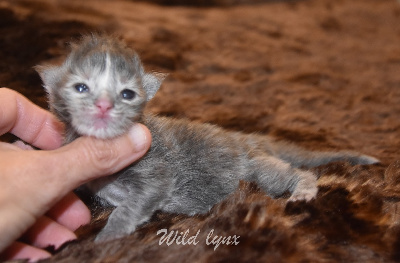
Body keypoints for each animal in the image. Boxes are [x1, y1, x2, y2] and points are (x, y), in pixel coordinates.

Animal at [36, 35, 380, 243]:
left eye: (127, 94)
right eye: (81, 87)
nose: (104, 106)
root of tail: (246, 138)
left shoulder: (156, 173)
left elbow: (132, 205)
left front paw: (108, 237)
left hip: (258, 171)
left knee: (295, 173)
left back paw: (304, 191)